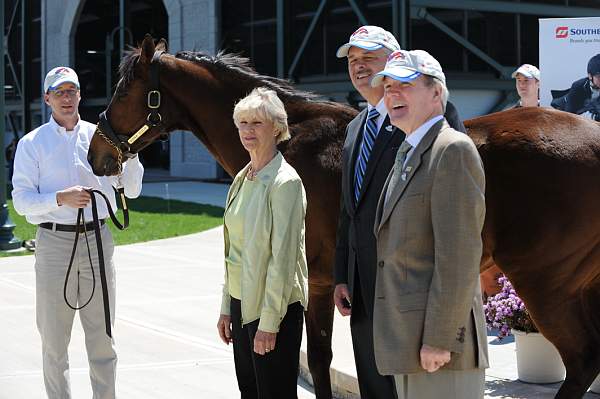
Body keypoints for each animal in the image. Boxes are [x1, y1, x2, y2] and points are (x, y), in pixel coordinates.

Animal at [85, 36, 600, 398]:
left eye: (125, 90)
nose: (96, 156)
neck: (291, 139)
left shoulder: (310, 280)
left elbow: (316, 358)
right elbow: (320, 358)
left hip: (544, 280)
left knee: (581, 361)